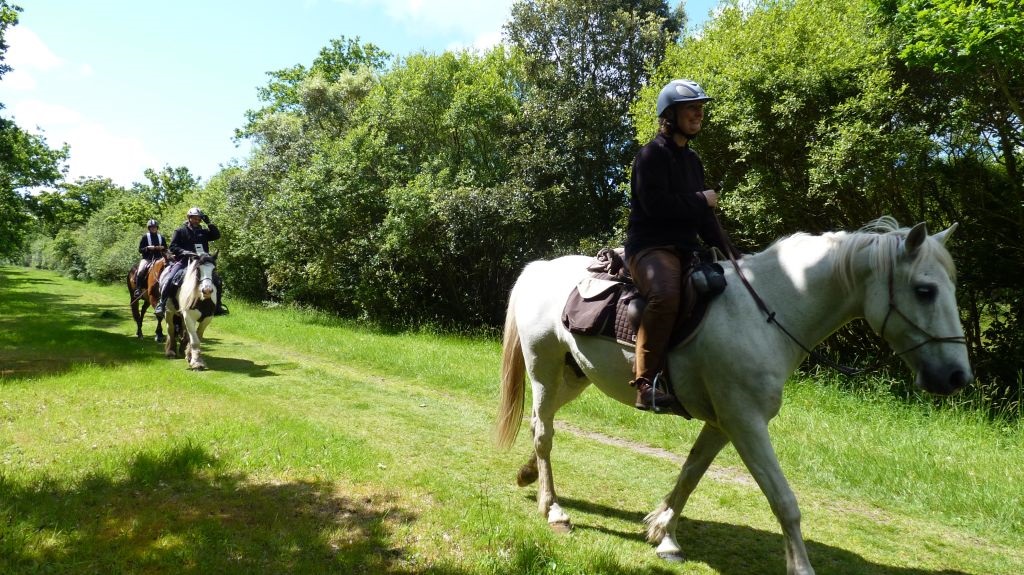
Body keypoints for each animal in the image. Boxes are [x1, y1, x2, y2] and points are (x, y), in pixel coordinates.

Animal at [495, 218, 972, 575]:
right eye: (925, 290)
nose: (957, 376)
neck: (768, 314)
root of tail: (540, 268)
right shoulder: (746, 422)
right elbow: (784, 500)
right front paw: (801, 567)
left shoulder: (722, 422)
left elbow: (690, 474)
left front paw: (664, 534)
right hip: (544, 369)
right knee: (544, 432)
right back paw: (554, 510)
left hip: (575, 376)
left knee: (542, 424)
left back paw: (528, 476)